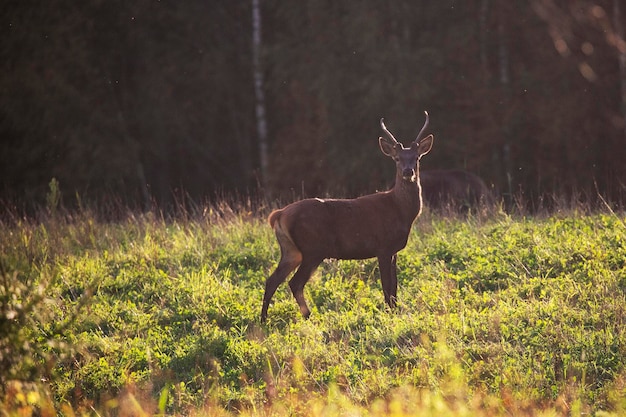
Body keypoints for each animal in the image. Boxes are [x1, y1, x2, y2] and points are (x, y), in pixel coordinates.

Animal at [260, 112, 432, 324]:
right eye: (397, 159)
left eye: (417, 158)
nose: (409, 172)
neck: (401, 211)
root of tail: (280, 214)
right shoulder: (382, 247)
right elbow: (386, 286)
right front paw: (390, 315)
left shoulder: (394, 250)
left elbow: (395, 287)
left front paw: (396, 312)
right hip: (313, 248)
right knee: (295, 282)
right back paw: (309, 316)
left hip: (291, 250)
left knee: (272, 280)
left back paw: (263, 320)